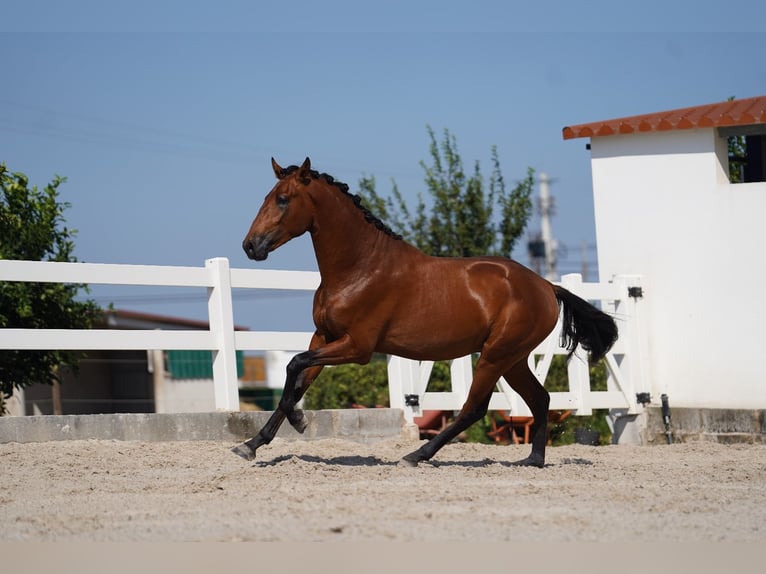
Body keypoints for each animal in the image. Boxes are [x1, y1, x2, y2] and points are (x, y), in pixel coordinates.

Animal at [232, 158, 616, 468]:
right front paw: (251, 444)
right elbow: (296, 378)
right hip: (513, 359)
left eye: (283, 199)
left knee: (473, 408)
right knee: (540, 399)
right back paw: (533, 460)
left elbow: (294, 366)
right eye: (267, 197)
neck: (359, 267)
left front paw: (298, 421)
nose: (250, 246)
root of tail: (546, 287)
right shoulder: (323, 337)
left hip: (496, 355)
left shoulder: (357, 347)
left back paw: (416, 455)